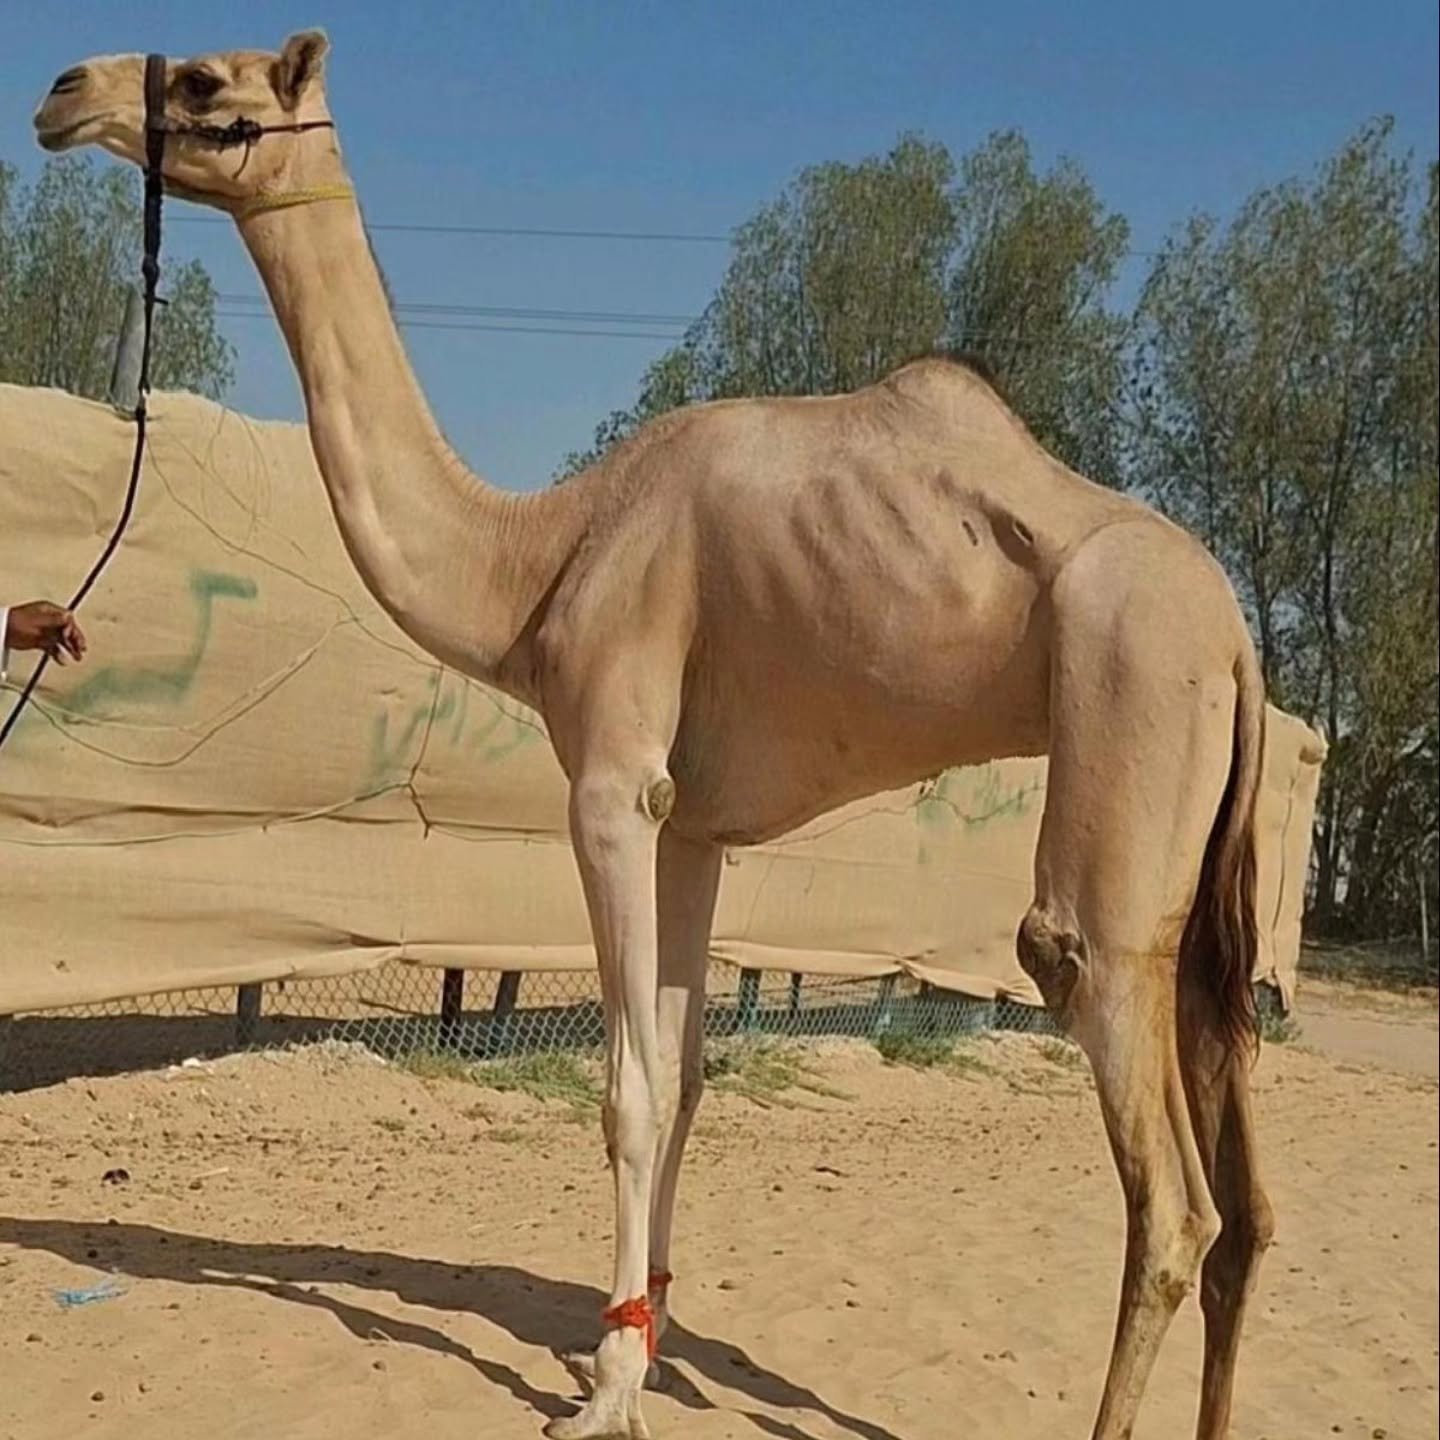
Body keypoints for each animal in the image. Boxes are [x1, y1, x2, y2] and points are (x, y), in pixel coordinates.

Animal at [34, 31, 1275, 1440]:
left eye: (203, 81)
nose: (63, 93)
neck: (538, 560)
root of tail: (1241, 637)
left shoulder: (612, 784)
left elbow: (627, 1086)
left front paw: (607, 1390)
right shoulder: (698, 826)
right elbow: (684, 1075)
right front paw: (638, 1342)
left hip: (1134, 709)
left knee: (1163, 1183)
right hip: (1204, 854)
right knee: (1243, 1204)